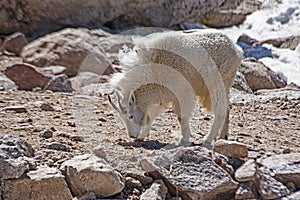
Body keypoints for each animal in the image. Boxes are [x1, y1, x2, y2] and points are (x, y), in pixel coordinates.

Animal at [109, 28, 243, 146]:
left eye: (130, 116)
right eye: (122, 118)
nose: (132, 135)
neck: (153, 71)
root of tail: (237, 49)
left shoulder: (181, 92)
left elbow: (181, 116)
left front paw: (184, 140)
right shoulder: (162, 94)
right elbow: (151, 115)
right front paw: (142, 136)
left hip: (218, 81)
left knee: (220, 109)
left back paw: (208, 139)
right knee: (227, 107)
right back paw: (222, 137)